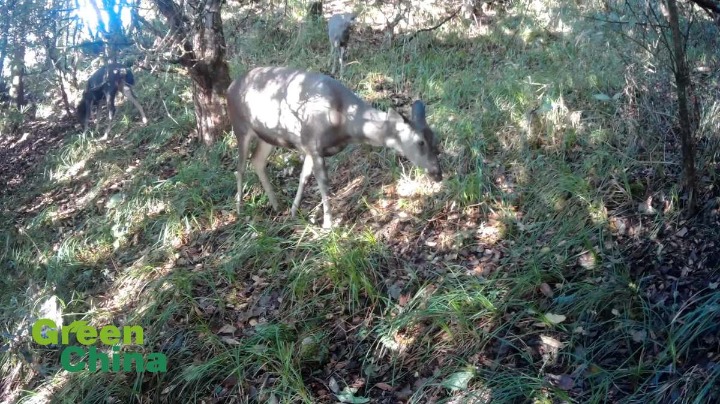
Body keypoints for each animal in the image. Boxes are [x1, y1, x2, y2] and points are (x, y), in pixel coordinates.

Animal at [228, 68, 442, 229]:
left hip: (268, 137)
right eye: (420, 142)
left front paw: (294, 212)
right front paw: (328, 225)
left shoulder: (309, 147)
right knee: (240, 168)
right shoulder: (314, 144)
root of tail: (230, 87)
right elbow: (323, 184)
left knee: (257, 160)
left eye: (435, 138)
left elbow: (304, 177)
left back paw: (275, 204)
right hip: (239, 126)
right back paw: (239, 209)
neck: (345, 124)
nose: (438, 173)